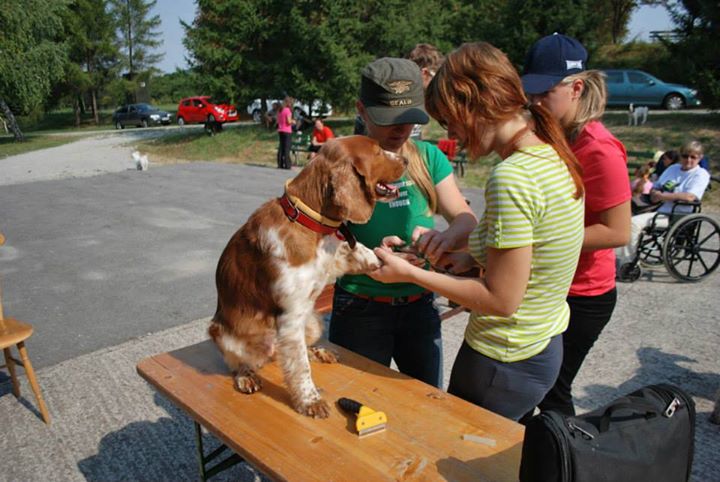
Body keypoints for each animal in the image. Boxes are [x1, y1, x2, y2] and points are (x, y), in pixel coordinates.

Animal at [211, 136, 408, 418]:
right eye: (377, 151)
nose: (406, 159)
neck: (309, 223)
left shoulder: (332, 260)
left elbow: (361, 252)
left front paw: (389, 255)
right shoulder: (290, 317)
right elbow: (300, 368)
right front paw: (310, 401)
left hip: (313, 323)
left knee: (301, 350)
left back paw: (320, 352)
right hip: (226, 335)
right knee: (239, 361)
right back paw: (245, 375)